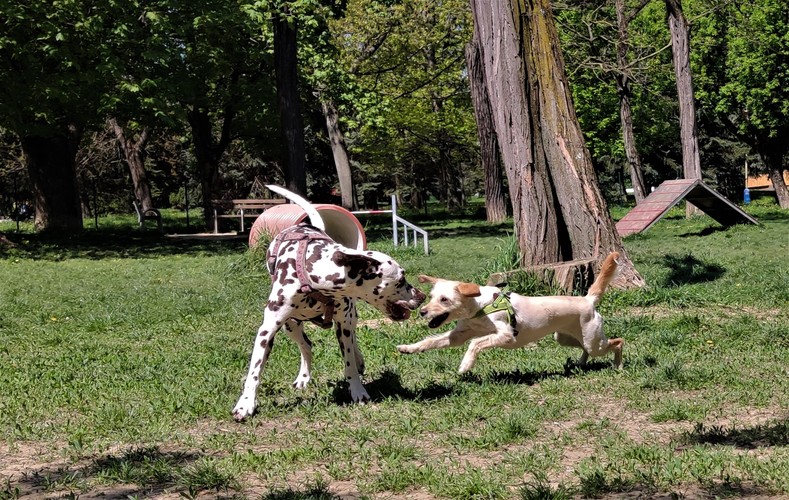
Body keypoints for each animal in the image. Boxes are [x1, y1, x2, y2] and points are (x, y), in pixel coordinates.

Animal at [232, 186, 424, 420]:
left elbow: (349, 363)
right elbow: (255, 371)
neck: (314, 276)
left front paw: (357, 390)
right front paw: (246, 403)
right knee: (306, 345)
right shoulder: (266, 331)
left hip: (348, 318)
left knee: (352, 339)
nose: (422, 296)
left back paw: (358, 360)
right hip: (291, 325)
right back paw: (303, 377)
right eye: (402, 279)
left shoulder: (343, 324)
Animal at [398, 252, 624, 374]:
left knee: (618, 342)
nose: (422, 312)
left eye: (444, 300)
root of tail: (587, 299)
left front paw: (465, 365)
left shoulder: (505, 335)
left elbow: (474, 343)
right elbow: (430, 341)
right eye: (431, 296)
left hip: (594, 340)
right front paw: (408, 348)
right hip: (565, 338)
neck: (481, 307)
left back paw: (618, 365)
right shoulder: (457, 336)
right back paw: (581, 362)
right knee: (586, 349)